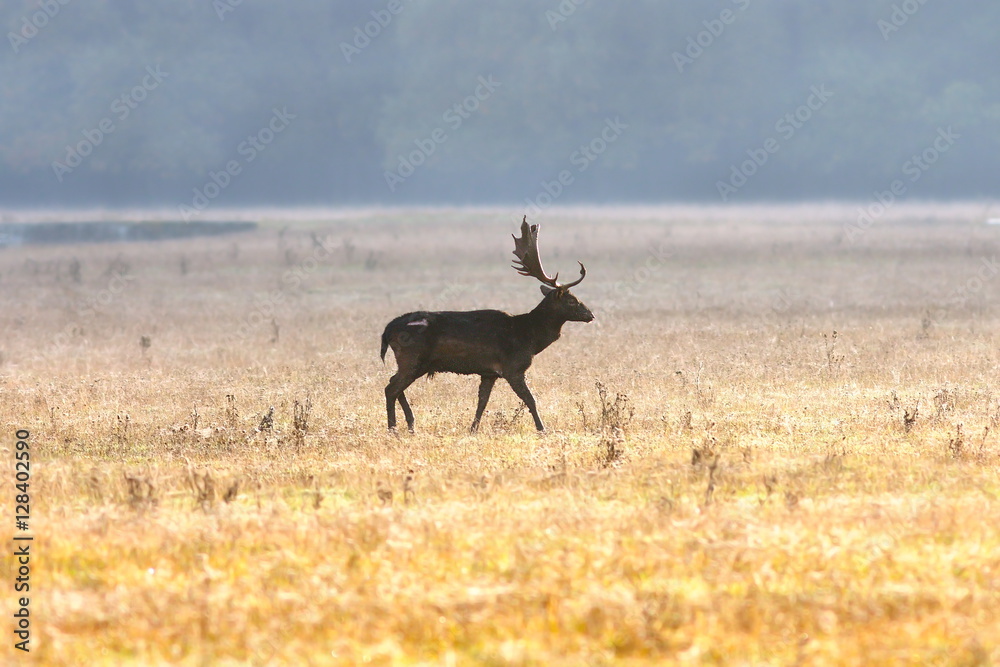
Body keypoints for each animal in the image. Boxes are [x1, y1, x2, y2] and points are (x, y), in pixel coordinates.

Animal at [380, 216, 594, 433]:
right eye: (572, 300)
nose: (590, 314)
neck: (529, 337)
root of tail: (388, 330)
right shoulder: (512, 367)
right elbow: (530, 400)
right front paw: (542, 429)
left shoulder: (489, 373)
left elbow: (482, 402)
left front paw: (473, 429)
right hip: (411, 357)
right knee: (391, 388)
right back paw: (393, 427)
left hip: (415, 362)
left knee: (394, 385)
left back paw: (410, 424)